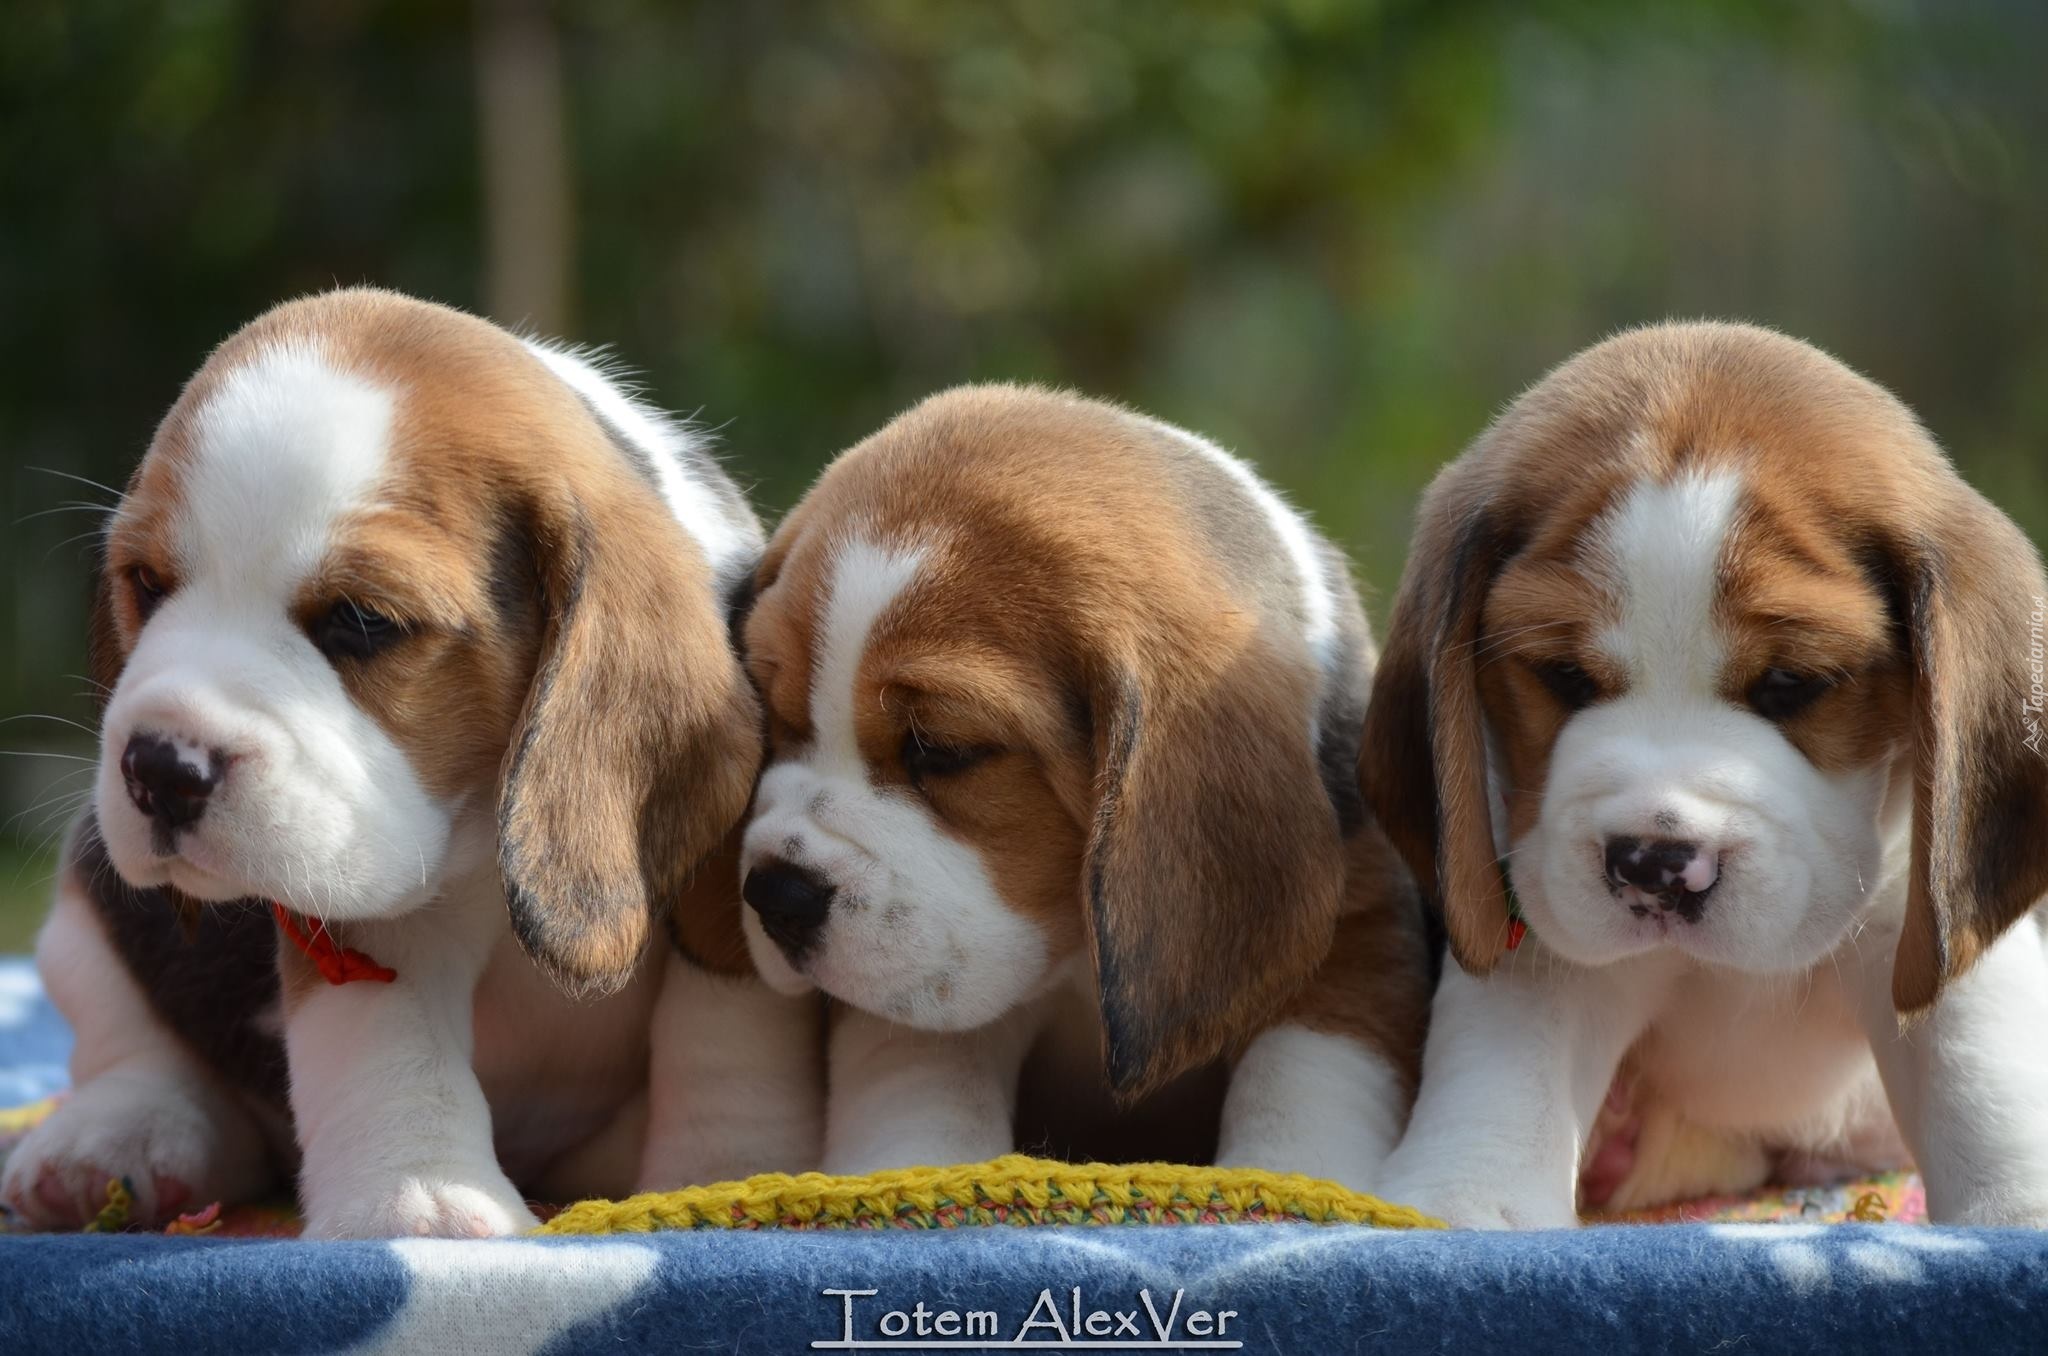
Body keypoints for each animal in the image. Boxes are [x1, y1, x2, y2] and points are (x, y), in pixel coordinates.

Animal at [2, 288, 815, 1245]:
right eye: (147, 585)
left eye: (361, 621)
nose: (160, 768)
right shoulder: (357, 913)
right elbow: (387, 1043)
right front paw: (419, 1203)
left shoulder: (726, 877)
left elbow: (729, 1029)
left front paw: (730, 1176)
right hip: (86, 902)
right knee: (133, 1042)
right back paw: (113, 1142)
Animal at [733, 385, 1425, 1188]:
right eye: (775, 714)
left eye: (942, 750)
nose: (775, 895)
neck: (1074, 965)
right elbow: (922, 1070)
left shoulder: (1363, 918)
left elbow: (1313, 1068)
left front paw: (1289, 1176)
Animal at [1359, 321, 2048, 1229]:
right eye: (1563, 676)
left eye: (1791, 683)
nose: (1653, 864)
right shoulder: (1538, 917)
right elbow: (1503, 1066)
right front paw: (1461, 1200)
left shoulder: (1918, 906)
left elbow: (1979, 1066)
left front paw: (2017, 1209)